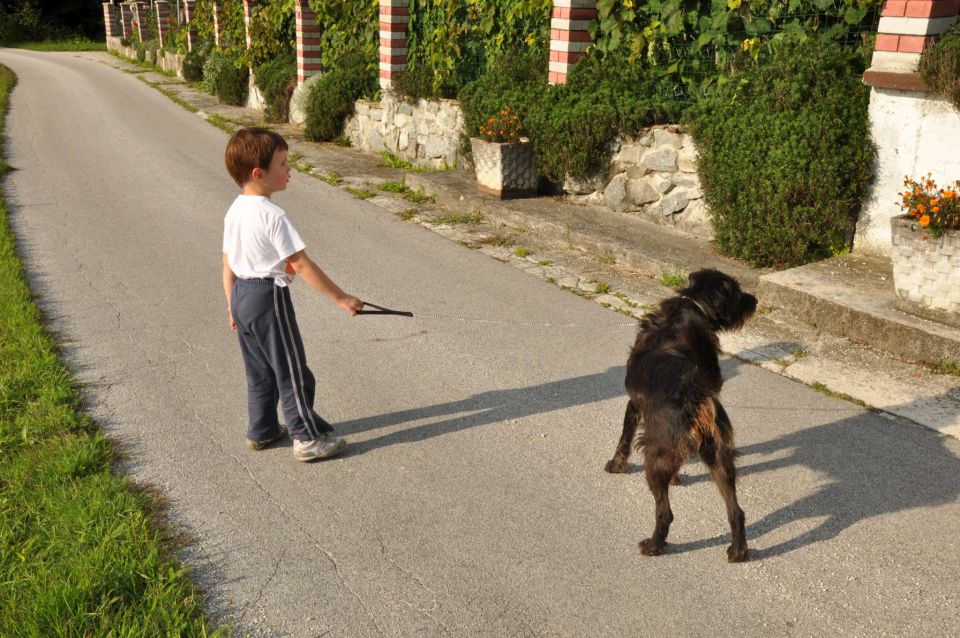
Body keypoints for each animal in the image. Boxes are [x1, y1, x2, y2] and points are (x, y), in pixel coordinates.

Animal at [608, 270, 756, 564]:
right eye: (737, 292)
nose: (754, 301)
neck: (694, 306)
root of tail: (693, 392)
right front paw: (677, 478)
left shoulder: (634, 405)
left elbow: (624, 438)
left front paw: (616, 465)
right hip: (719, 456)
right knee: (736, 511)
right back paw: (738, 551)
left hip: (655, 459)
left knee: (665, 513)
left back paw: (654, 545)